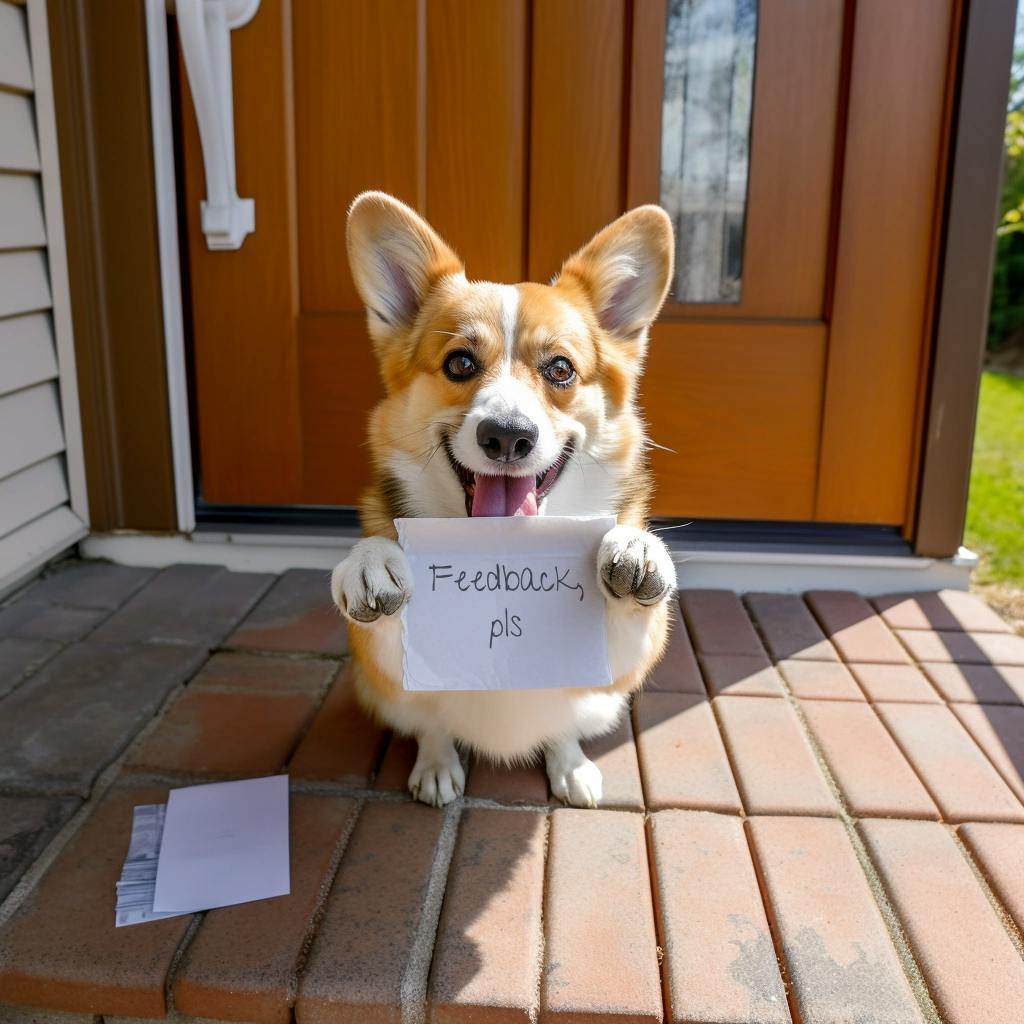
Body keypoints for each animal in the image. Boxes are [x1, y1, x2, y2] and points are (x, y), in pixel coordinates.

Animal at [331, 192, 675, 806]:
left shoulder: (619, 667)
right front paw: (370, 562)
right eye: (460, 363)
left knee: (564, 726)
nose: (508, 436)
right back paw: (438, 765)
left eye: (560, 368)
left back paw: (570, 764)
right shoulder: (384, 668)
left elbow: (635, 612)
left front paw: (636, 548)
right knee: (432, 724)